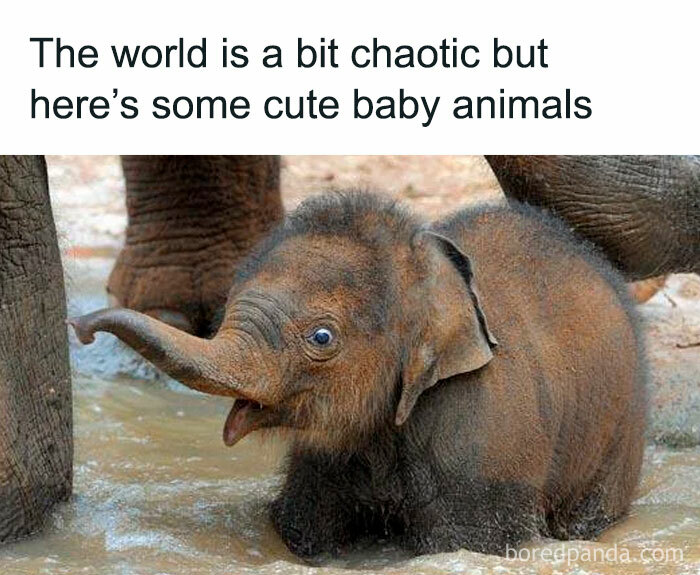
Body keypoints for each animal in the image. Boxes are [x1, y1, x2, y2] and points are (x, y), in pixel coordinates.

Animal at [69, 191, 646, 557]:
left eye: (322, 338)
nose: (80, 328)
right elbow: (304, 526)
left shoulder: (483, 438)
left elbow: (465, 543)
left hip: (618, 438)